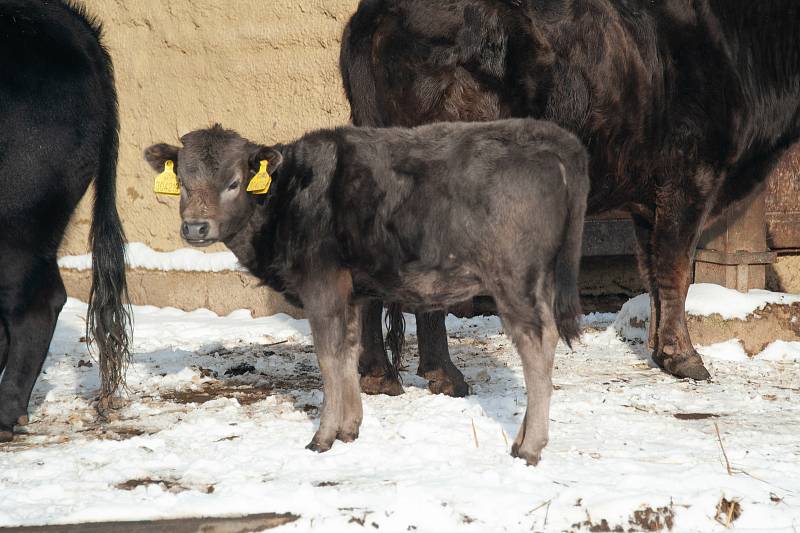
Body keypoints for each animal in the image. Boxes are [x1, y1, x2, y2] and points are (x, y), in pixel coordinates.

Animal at [147, 119, 592, 462]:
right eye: (181, 182)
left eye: (235, 183)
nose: (196, 227)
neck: (289, 197)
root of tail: (549, 134)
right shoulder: (351, 292)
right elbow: (348, 351)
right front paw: (349, 428)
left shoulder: (322, 284)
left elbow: (327, 357)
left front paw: (322, 437)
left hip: (515, 277)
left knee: (537, 344)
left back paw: (529, 447)